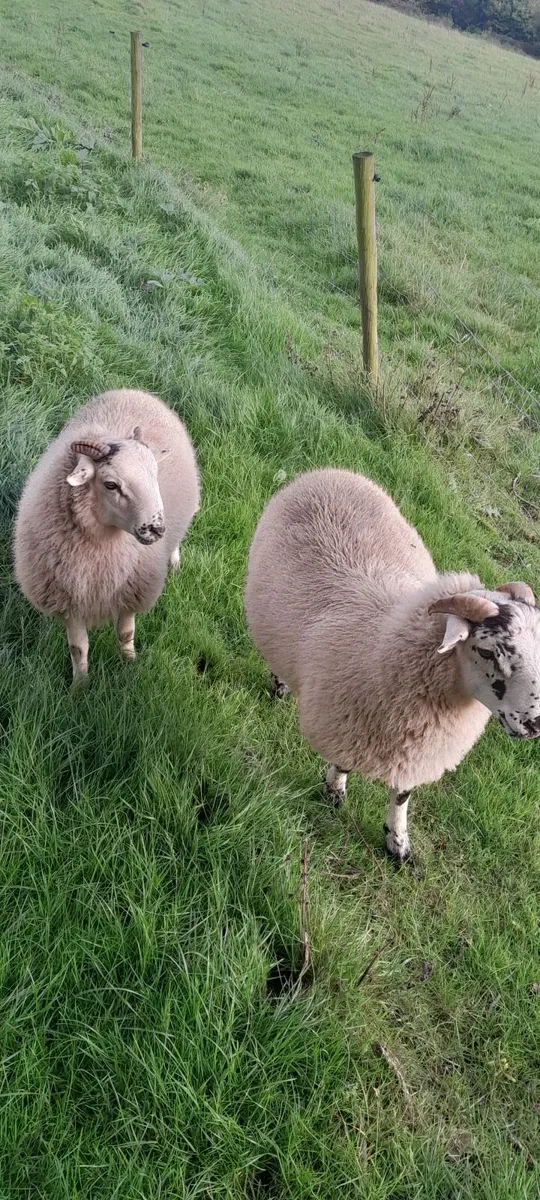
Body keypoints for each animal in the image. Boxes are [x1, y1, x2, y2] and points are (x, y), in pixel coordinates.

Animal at [14, 388, 200, 681]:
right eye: (111, 484)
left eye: (155, 475)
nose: (157, 528)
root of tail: (134, 390)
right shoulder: (69, 600)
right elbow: (78, 648)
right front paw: (80, 685)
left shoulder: (132, 592)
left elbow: (125, 633)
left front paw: (130, 664)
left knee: (177, 542)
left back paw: (175, 563)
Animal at [245, 468, 540, 863]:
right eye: (488, 652)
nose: (535, 725)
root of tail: (333, 472)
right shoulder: (347, 725)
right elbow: (343, 763)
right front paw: (334, 792)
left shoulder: (416, 753)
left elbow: (402, 796)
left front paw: (397, 843)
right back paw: (280, 684)